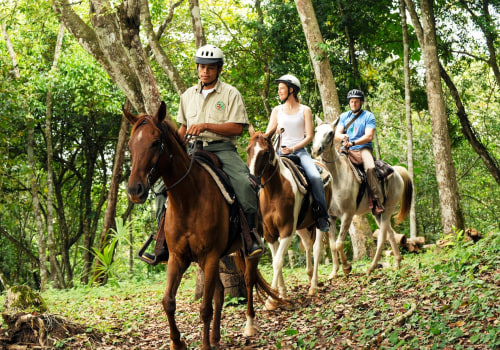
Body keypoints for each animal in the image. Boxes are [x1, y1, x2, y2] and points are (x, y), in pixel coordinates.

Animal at [125, 102, 282, 350]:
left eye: (155, 142)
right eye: (131, 145)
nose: (134, 190)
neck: (188, 199)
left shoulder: (209, 255)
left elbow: (205, 308)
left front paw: (204, 345)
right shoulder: (178, 257)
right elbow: (168, 301)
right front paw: (177, 343)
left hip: (242, 251)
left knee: (248, 281)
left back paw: (249, 326)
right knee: (220, 291)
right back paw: (216, 336)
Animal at [245, 129, 332, 304]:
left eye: (265, 152)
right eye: (248, 150)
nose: (252, 181)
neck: (274, 192)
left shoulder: (286, 230)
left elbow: (278, 261)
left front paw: (271, 301)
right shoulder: (270, 233)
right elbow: (275, 260)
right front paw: (282, 293)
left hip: (319, 223)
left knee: (317, 249)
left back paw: (313, 286)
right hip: (303, 226)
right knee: (307, 245)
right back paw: (310, 276)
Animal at [312, 120, 414, 276]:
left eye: (330, 133)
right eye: (316, 130)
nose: (316, 149)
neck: (337, 177)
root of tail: (396, 171)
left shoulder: (347, 215)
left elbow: (339, 243)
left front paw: (347, 267)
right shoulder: (331, 216)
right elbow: (333, 245)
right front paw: (334, 272)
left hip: (388, 208)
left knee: (382, 237)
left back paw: (371, 267)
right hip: (377, 212)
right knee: (390, 234)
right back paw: (397, 263)